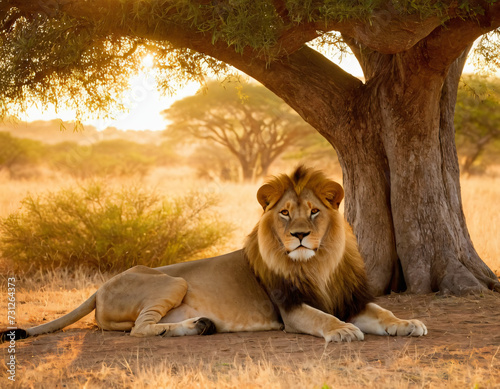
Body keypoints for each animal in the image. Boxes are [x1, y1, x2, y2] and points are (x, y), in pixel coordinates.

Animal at [2, 165, 426, 342]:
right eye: (285, 213)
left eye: (314, 212)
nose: (300, 235)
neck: (317, 264)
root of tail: (99, 288)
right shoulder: (290, 310)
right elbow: (322, 318)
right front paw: (343, 331)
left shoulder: (349, 298)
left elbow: (383, 312)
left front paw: (407, 323)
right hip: (172, 280)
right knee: (141, 328)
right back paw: (189, 327)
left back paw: (200, 325)